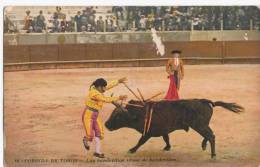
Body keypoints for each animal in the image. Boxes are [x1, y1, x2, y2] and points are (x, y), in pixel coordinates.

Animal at [104, 98, 244, 159]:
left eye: (118, 116)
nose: (106, 124)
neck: (139, 113)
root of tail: (204, 101)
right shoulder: (163, 130)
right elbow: (166, 138)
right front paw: (167, 147)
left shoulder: (147, 133)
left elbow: (140, 141)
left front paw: (132, 150)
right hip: (201, 125)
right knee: (209, 135)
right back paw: (204, 146)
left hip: (199, 125)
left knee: (211, 136)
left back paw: (213, 154)